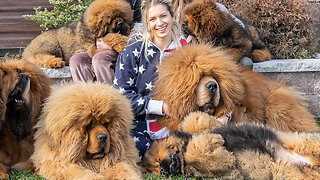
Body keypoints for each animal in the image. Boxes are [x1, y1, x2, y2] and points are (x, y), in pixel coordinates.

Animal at [144, 112, 320, 179]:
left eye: (158, 160)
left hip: (299, 140)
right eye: (156, 171)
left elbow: (195, 120)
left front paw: (212, 136)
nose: (163, 171)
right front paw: (214, 141)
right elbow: (195, 155)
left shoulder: (195, 127)